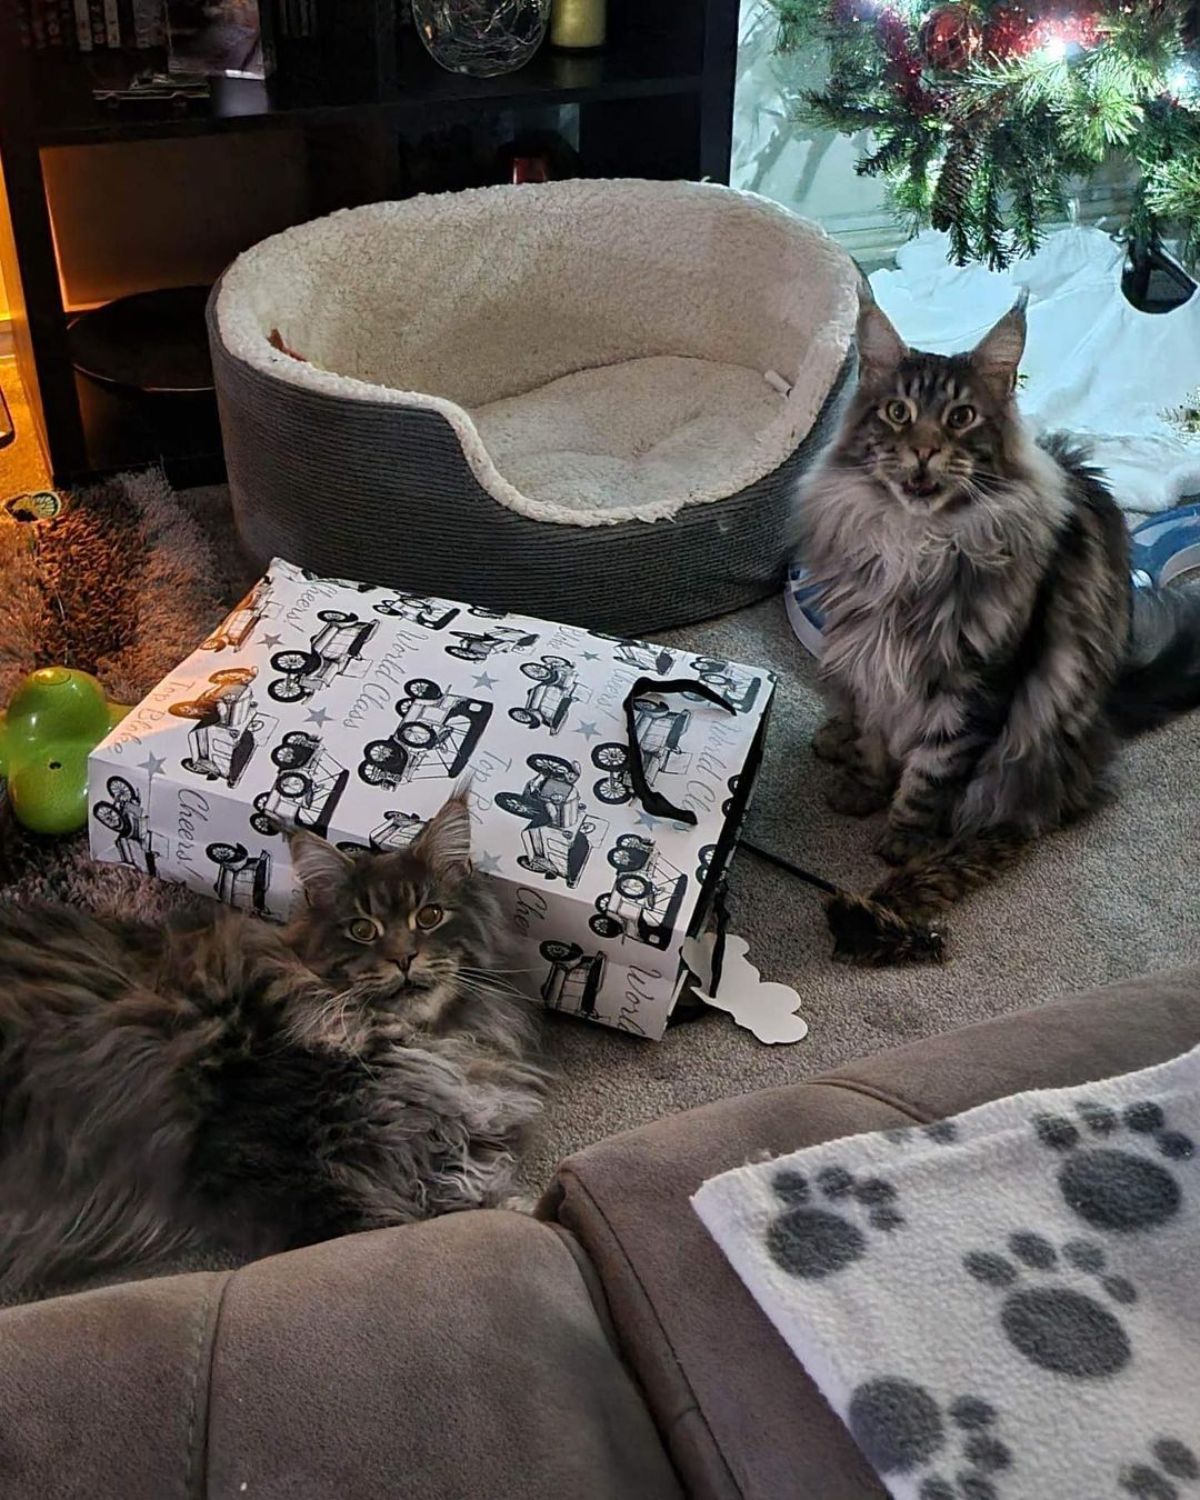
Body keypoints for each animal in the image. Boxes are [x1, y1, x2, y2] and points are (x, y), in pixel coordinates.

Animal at [0, 798, 546, 1302]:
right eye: (362, 929)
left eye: (429, 916)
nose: (404, 958)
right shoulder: (266, 1166)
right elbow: (387, 1234)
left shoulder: (437, 1144)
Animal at [798, 286, 1200, 960]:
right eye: (899, 412)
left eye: (961, 418)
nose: (924, 450)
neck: (916, 545)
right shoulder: (872, 658)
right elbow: (876, 737)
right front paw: (859, 789)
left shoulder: (973, 684)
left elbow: (931, 774)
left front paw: (902, 840)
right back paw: (833, 739)